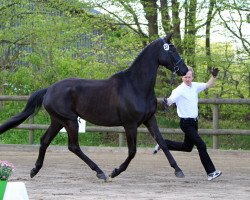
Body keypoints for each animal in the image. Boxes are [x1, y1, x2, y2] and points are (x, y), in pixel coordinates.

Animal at [0, 33, 188, 181]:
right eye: (172, 50)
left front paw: (178, 170)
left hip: (58, 121)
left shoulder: (149, 119)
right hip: (70, 121)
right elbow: (132, 151)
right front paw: (115, 172)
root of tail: (49, 89)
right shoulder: (130, 124)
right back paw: (100, 172)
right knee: (73, 146)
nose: (185, 70)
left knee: (45, 141)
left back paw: (34, 170)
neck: (136, 86)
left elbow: (162, 143)